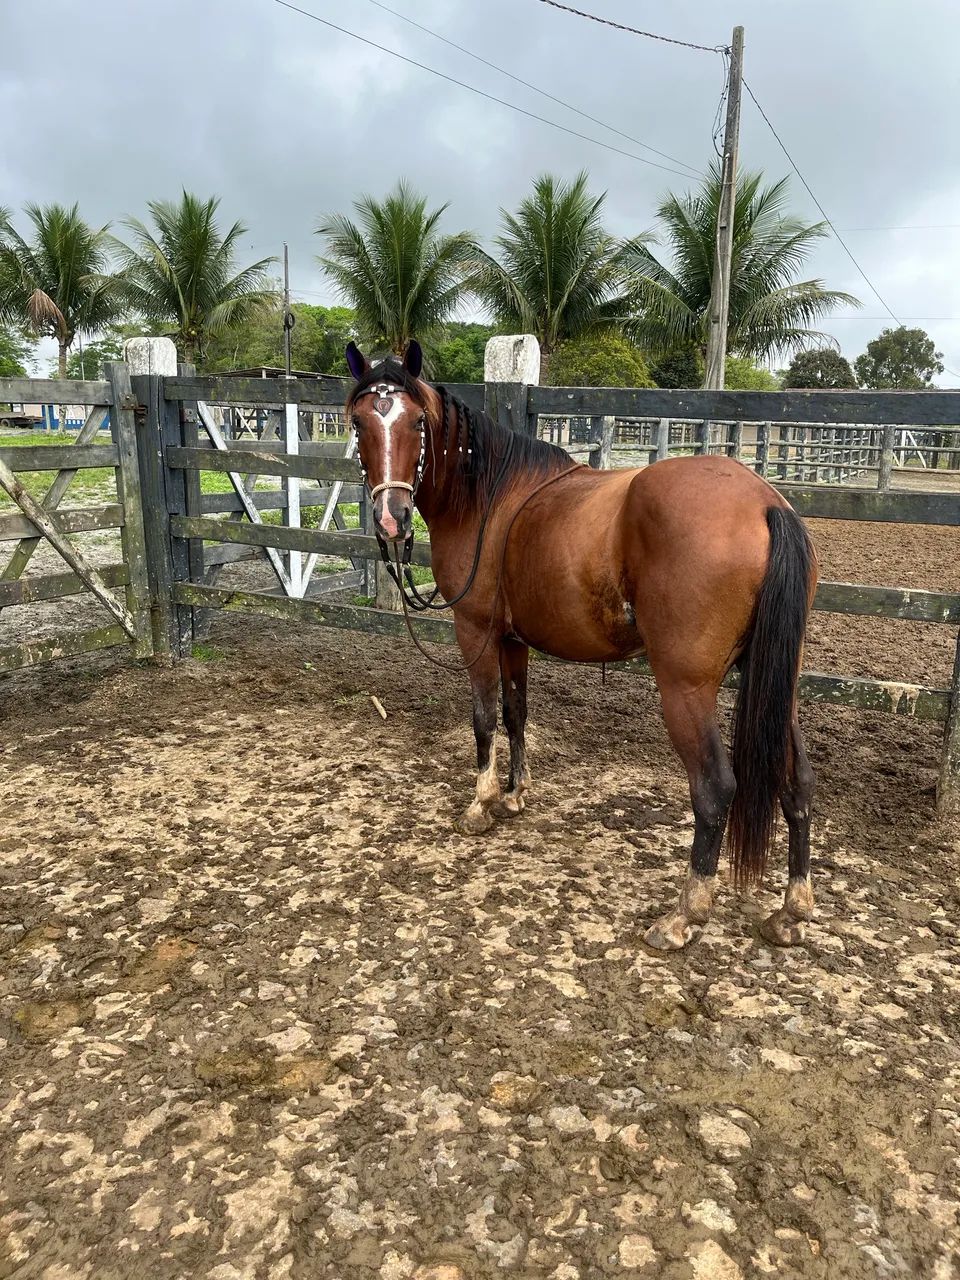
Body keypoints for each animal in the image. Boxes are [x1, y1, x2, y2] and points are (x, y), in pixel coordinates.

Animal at [344, 339, 818, 950]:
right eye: (359, 421)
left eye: (418, 422)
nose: (390, 516)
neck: (487, 495)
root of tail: (765, 503)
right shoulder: (513, 640)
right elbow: (516, 712)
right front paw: (514, 795)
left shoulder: (475, 631)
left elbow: (483, 716)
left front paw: (480, 803)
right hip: (775, 683)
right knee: (797, 782)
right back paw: (792, 909)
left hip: (686, 688)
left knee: (715, 787)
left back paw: (684, 913)